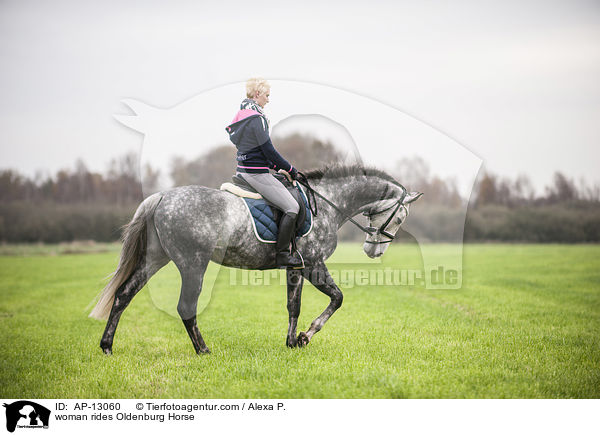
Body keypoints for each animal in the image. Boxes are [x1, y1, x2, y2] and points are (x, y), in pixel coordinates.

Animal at [89, 165, 422, 356]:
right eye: (400, 217)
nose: (374, 251)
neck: (328, 204)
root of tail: (161, 197)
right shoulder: (313, 264)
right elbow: (337, 298)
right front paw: (305, 336)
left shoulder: (296, 267)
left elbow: (293, 305)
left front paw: (291, 342)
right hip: (193, 264)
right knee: (185, 307)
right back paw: (203, 350)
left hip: (156, 258)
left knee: (124, 295)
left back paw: (107, 347)